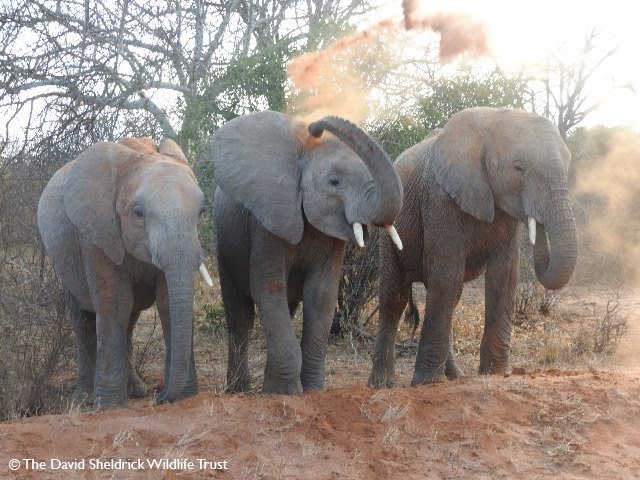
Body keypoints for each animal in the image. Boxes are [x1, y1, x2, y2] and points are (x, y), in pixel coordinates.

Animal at [37, 137, 213, 409]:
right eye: (138, 214)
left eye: (202, 212)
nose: (159, 396)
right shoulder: (97, 232)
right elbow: (114, 303)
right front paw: (107, 406)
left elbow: (166, 304)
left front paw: (185, 396)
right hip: (65, 262)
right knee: (83, 319)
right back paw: (84, 398)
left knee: (130, 319)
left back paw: (137, 391)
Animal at [212, 111, 404, 395]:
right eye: (334, 182)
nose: (315, 126)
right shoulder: (268, 221)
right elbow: (268, 287)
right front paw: (288, 393)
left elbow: (322, 293)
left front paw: (312, 391)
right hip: (223, 246)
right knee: (240, 317)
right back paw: (239, 390)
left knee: (287, 309)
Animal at [368, 107, 578, 388]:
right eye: (519, 168)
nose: (538, 222)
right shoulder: (440, 198)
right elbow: (448, 272)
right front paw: (427, 383)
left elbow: (503, 276)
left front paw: (497, 373)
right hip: (388, 234)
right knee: (395, 298)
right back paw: (382, 384)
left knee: (449, 296)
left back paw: (456, 377)